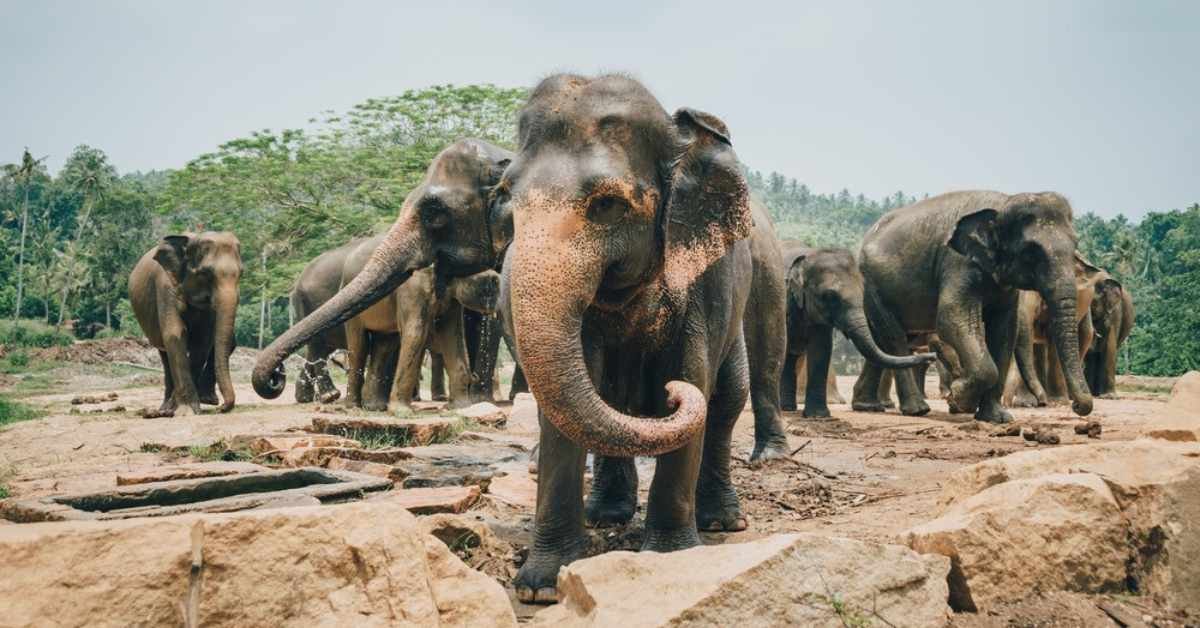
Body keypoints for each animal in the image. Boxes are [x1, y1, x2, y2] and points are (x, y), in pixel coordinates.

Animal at [130, 230, 242, 417]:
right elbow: (175, 333)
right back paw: (166, 407)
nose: (221, 408)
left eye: (241, 273)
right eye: (205, 273)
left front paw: (186, 406)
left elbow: (203, 341)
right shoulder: (165, 287)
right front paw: (186, 410)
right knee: (164, 354)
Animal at [250, 139, 513, 401]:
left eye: (434, 215)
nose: (275, 375)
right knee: (317, 347)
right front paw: (479, 399)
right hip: (305, 304)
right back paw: (329, 397)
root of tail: (296, 284)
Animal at [496, 73, 768, 605]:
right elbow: (562, 408)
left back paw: (724, 522)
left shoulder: (708, 280)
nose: (670, 397)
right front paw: (539, 587)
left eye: (608, 204)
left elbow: (694, 376)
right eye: (508, 194)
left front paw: (668, 559)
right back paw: (607, 514)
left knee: (727, 399)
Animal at [777, 248, 936, 420]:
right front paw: (818, 416)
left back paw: (787, 407)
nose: (932, 355)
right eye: (829, 297)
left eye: (862, 294)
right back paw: (784, 408)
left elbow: (821, 349)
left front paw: (818, 416)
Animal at [849, 192, 1094, 422]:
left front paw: (996, 418)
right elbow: (951, 317)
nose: (1076, 406)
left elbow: (1004, 330)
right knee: (894, 338)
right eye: (1031, 252)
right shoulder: (958, 262)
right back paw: (917, 410)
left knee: (881, 342)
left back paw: (866, 406)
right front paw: (958, 399)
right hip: (872, 286)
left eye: (1075, 246)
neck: (1004, 203)